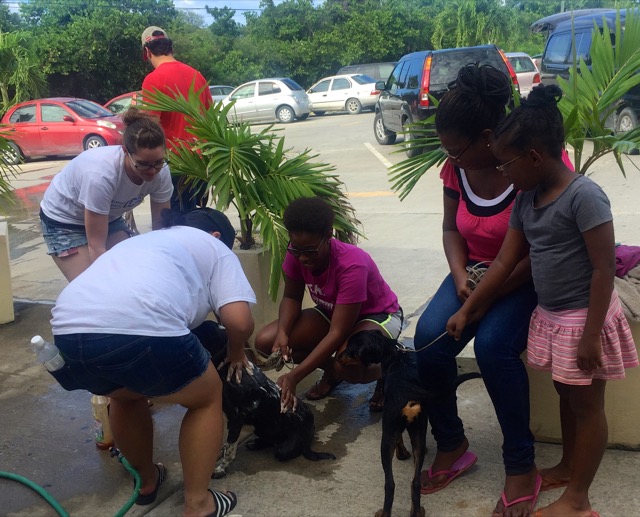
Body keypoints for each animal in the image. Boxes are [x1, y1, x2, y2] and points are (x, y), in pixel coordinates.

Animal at [192, 320, 336, 478]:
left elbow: (230, 449)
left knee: (277, 447)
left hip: (282, 449)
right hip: (261, 427)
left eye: (199, 331)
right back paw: (256, 443)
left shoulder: (236, 419)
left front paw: (221, 469)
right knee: (269, 439)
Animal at [340, 330, 480, 516]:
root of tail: (410, 392)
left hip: (387, 438)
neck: (394, 353)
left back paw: (384, 512)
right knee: (415, 482)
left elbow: (399, 438)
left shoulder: (391, 425)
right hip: (419, 431)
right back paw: (417, 511)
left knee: (390, 484)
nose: (338, 357)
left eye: (350, 349)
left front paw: (402, 453)